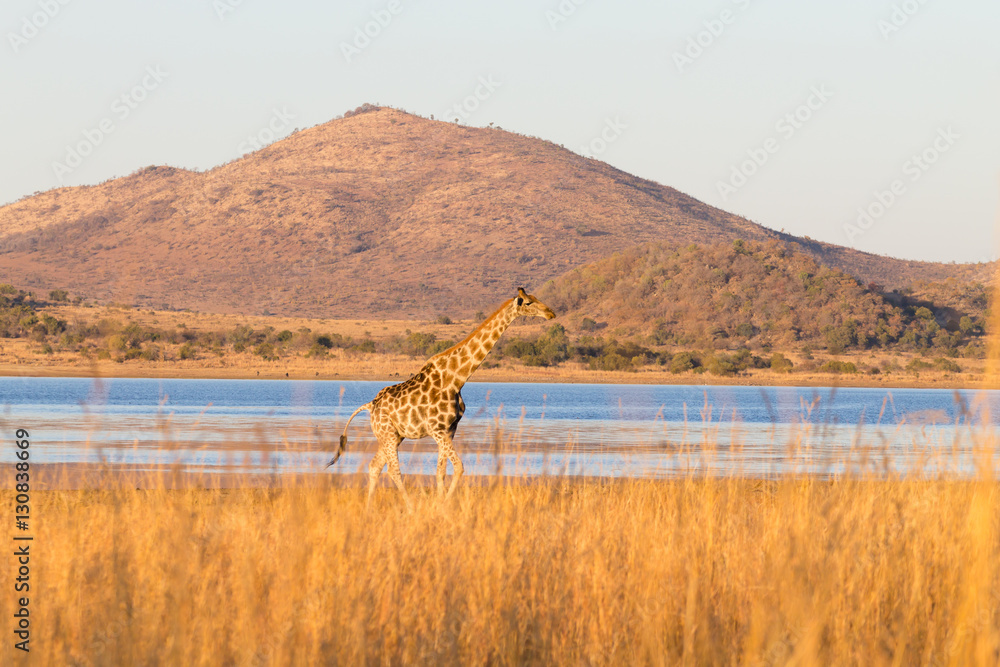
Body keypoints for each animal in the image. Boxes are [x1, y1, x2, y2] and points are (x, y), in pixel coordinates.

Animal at [327, 287, 556, 508]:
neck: (456, 378)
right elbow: (459, 467)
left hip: (393, 436)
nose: (551, 313)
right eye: (529, 303)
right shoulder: (437, 430)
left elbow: (441, 472)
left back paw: (368, 509)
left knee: (374, 466)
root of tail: (370, 405)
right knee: (393, 470)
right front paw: (443, 505)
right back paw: (410, 508)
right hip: (388, 435)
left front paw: (440, 505)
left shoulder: (449, 430)